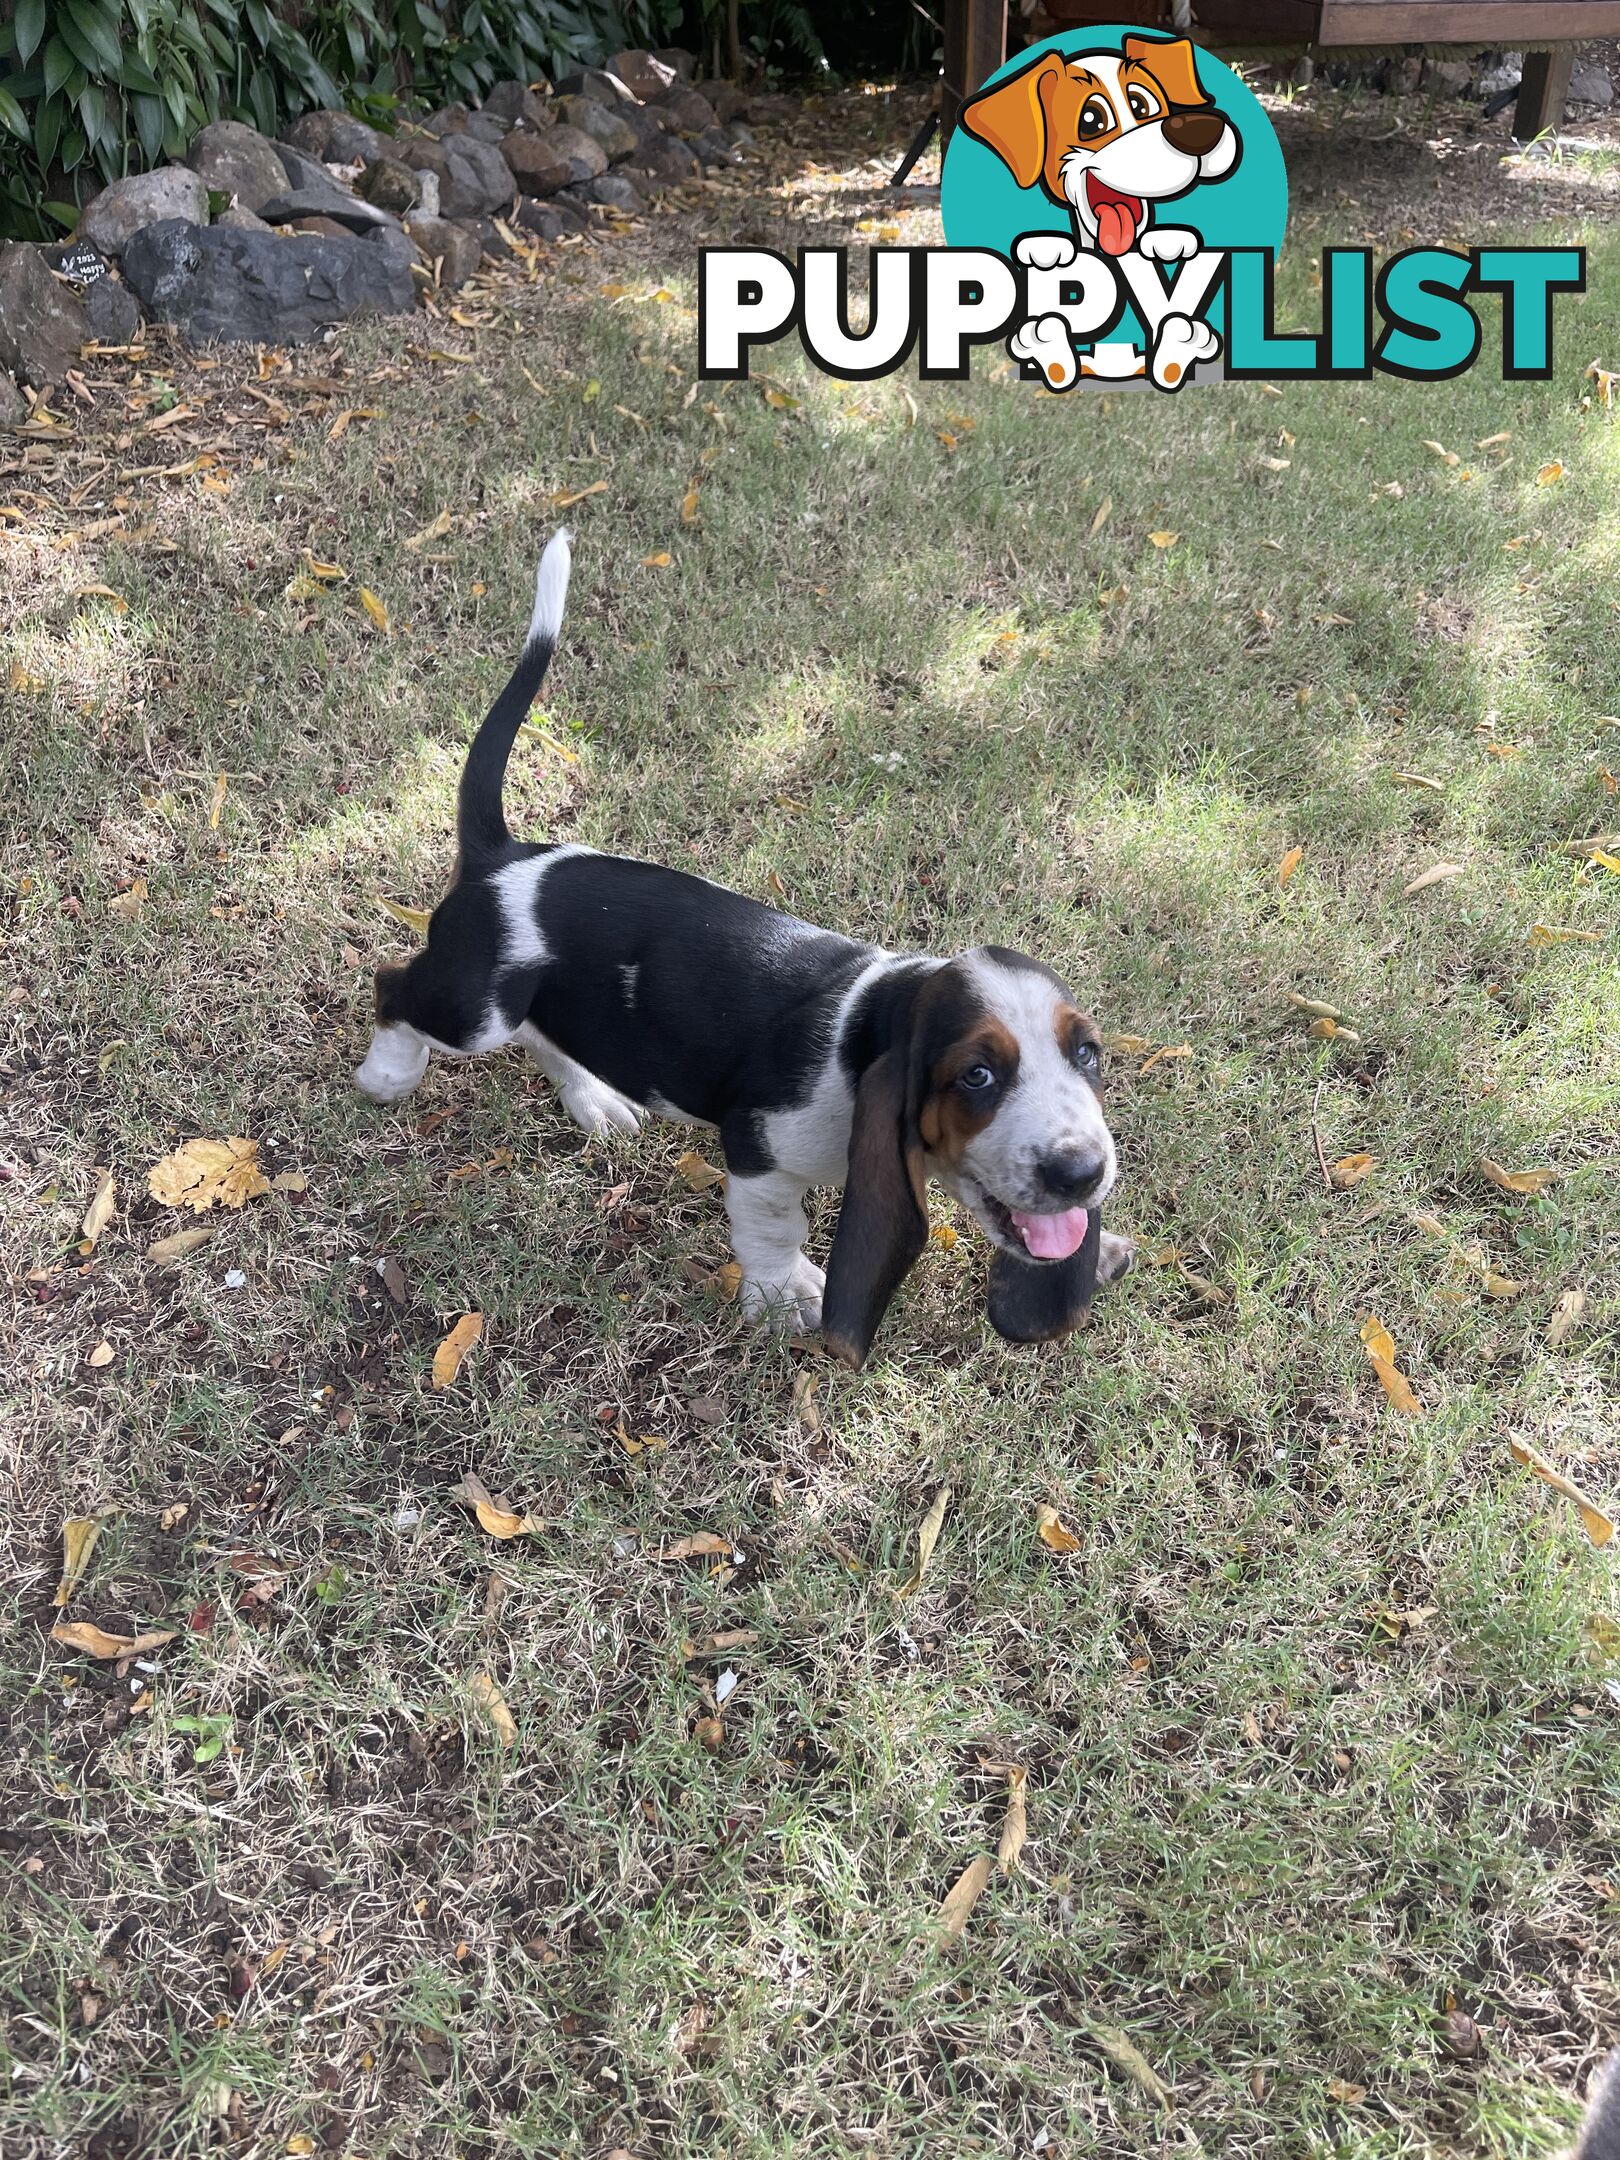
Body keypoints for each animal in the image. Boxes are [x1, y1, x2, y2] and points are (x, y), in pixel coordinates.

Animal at [360, 548, 1131, 1373]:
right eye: (977, 1076)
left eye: (1087, 1054)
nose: (1083, 1173)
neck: (867, 1026)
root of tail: (502, 860)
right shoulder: (758, 1150)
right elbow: (774, 1230)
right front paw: (784, 1294)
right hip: (475, 1007)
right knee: (395, 989)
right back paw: (388, 1075)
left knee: (546, 1032)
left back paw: (591, 1097)